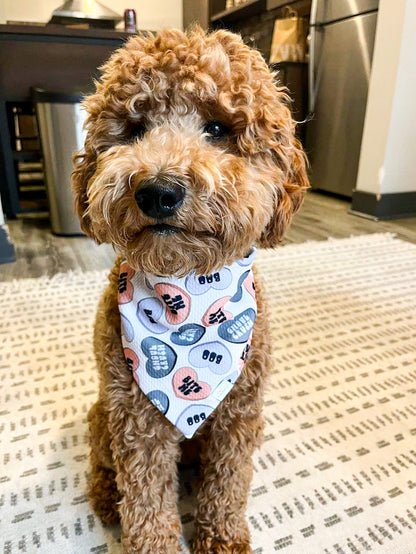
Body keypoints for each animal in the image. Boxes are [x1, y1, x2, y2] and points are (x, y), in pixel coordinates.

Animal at [71, 25, 308, 552]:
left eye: (217, 129)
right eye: (135, 128)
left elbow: (229, 482)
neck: (187, 288)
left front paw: (222, 536)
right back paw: (105, 497)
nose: (158, 191)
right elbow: (146, 503)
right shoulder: (137, 420)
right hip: (103, 414)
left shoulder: (239, 414)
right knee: (102, 463)